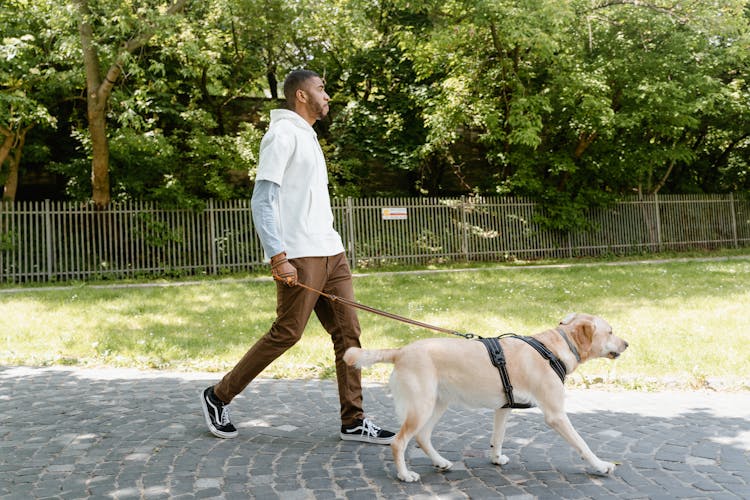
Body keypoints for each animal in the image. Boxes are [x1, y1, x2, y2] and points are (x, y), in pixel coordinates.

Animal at [346, 312, 628, 480]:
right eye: (610, 331)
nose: (627, 344)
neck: (553, 349)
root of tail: (401, 350)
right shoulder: (556, 415)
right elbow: (582, 444)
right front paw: (600, 465)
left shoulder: (503, 408)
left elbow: (497, 437)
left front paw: (495, 458)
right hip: (421, 407)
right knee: (399, 442)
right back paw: (405, 475)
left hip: (437, 404)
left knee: (423, 437)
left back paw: (441, 462)